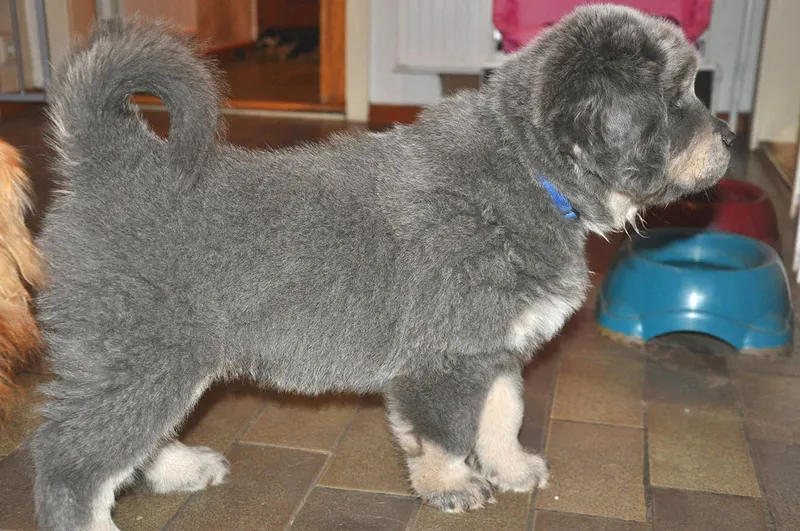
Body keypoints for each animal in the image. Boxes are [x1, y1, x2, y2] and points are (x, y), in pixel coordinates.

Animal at [31, 5, 734, 530]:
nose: (728, 137)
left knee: (130, 445)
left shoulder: (495, 349)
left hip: (168, 361)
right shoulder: (447, 357)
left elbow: (502, 415)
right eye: (675, 100)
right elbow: (446, 432)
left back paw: (182, 468)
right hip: (143, 355)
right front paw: (453, 485)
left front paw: (510, 469)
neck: (531, 170)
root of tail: (112, 163)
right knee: (71, 464)